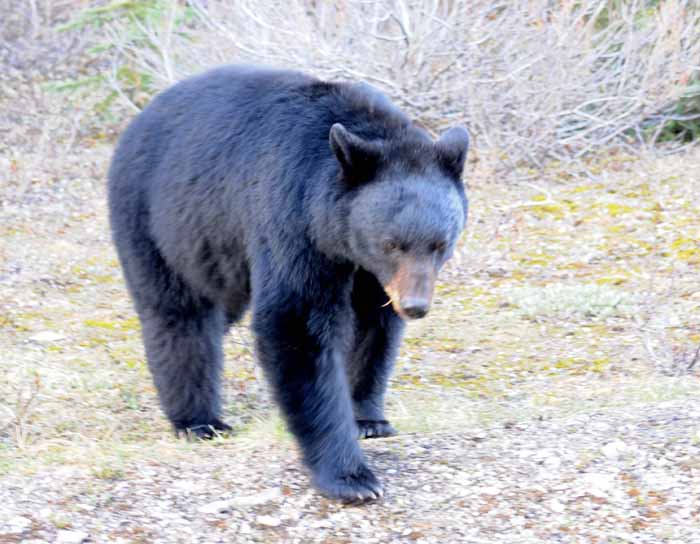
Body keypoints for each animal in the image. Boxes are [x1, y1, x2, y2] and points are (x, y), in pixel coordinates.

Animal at [108, 66, 470, 504]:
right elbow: (297, 323)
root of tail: (137, 121)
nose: (415, 305)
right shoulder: (292, 217)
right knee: (180, 318)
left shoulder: (368, 272)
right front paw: (351, 476)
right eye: (392, 243)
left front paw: (368, 418)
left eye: (440, 244)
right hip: (160, 223)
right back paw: (199, 421)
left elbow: (373, 327)